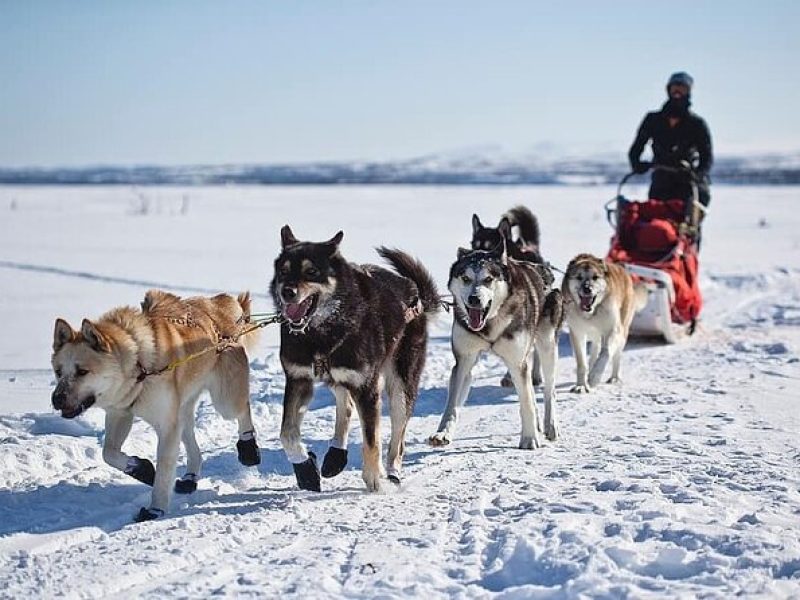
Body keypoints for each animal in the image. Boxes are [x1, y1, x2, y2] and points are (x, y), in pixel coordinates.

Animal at [50, 290, 262, 520]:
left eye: (82, 371)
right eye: (58, 372)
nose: (56, 399)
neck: (140, 366)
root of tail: (222, 302)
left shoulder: (167, 426)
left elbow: (163, 471)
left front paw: (155, 508)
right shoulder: (120, 413)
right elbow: (108, 453)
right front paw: (141, 469)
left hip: (224, 401)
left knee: (242, 409)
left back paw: (248, 447)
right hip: (182, 410)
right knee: (192, 444)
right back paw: (190, 477)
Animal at [272, 225, 440, 492]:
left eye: (312, 271)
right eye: (283, 271)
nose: (287, 292)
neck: (321, 334)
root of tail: (414, 293)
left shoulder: (366, 387)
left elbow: (372, 439)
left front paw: (373, 478)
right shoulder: (298, 379)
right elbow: (287, 433)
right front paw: (305, 468)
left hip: (400, 385)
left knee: (397, 434)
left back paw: (392, 471)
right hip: (338, 377)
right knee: (347, 405)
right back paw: (335, 456)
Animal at [424, 244, 564, 450]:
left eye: (488, 279)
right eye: (465, 278)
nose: (474, 299)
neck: (489, 324)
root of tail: (542, 269)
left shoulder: (516, 362)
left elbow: (527, 402)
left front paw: (529, 438)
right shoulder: (464, 361)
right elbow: (452, 405)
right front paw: (442, 433)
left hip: (547, 345)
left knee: (549, 391)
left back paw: (550, 425)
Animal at [560, 254, 648, 392]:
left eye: (595, 277)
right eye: (579, 277)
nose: (587, 289)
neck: (591, 313)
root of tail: (623, 269)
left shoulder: (613, 330)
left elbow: (605, 353)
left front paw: (594, 377)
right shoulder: (577, 333)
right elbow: (582, 363)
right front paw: (581, 385)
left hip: (622, 332)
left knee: (616, 355)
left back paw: (614, 378)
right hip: (595, 336)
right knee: (595, 350)